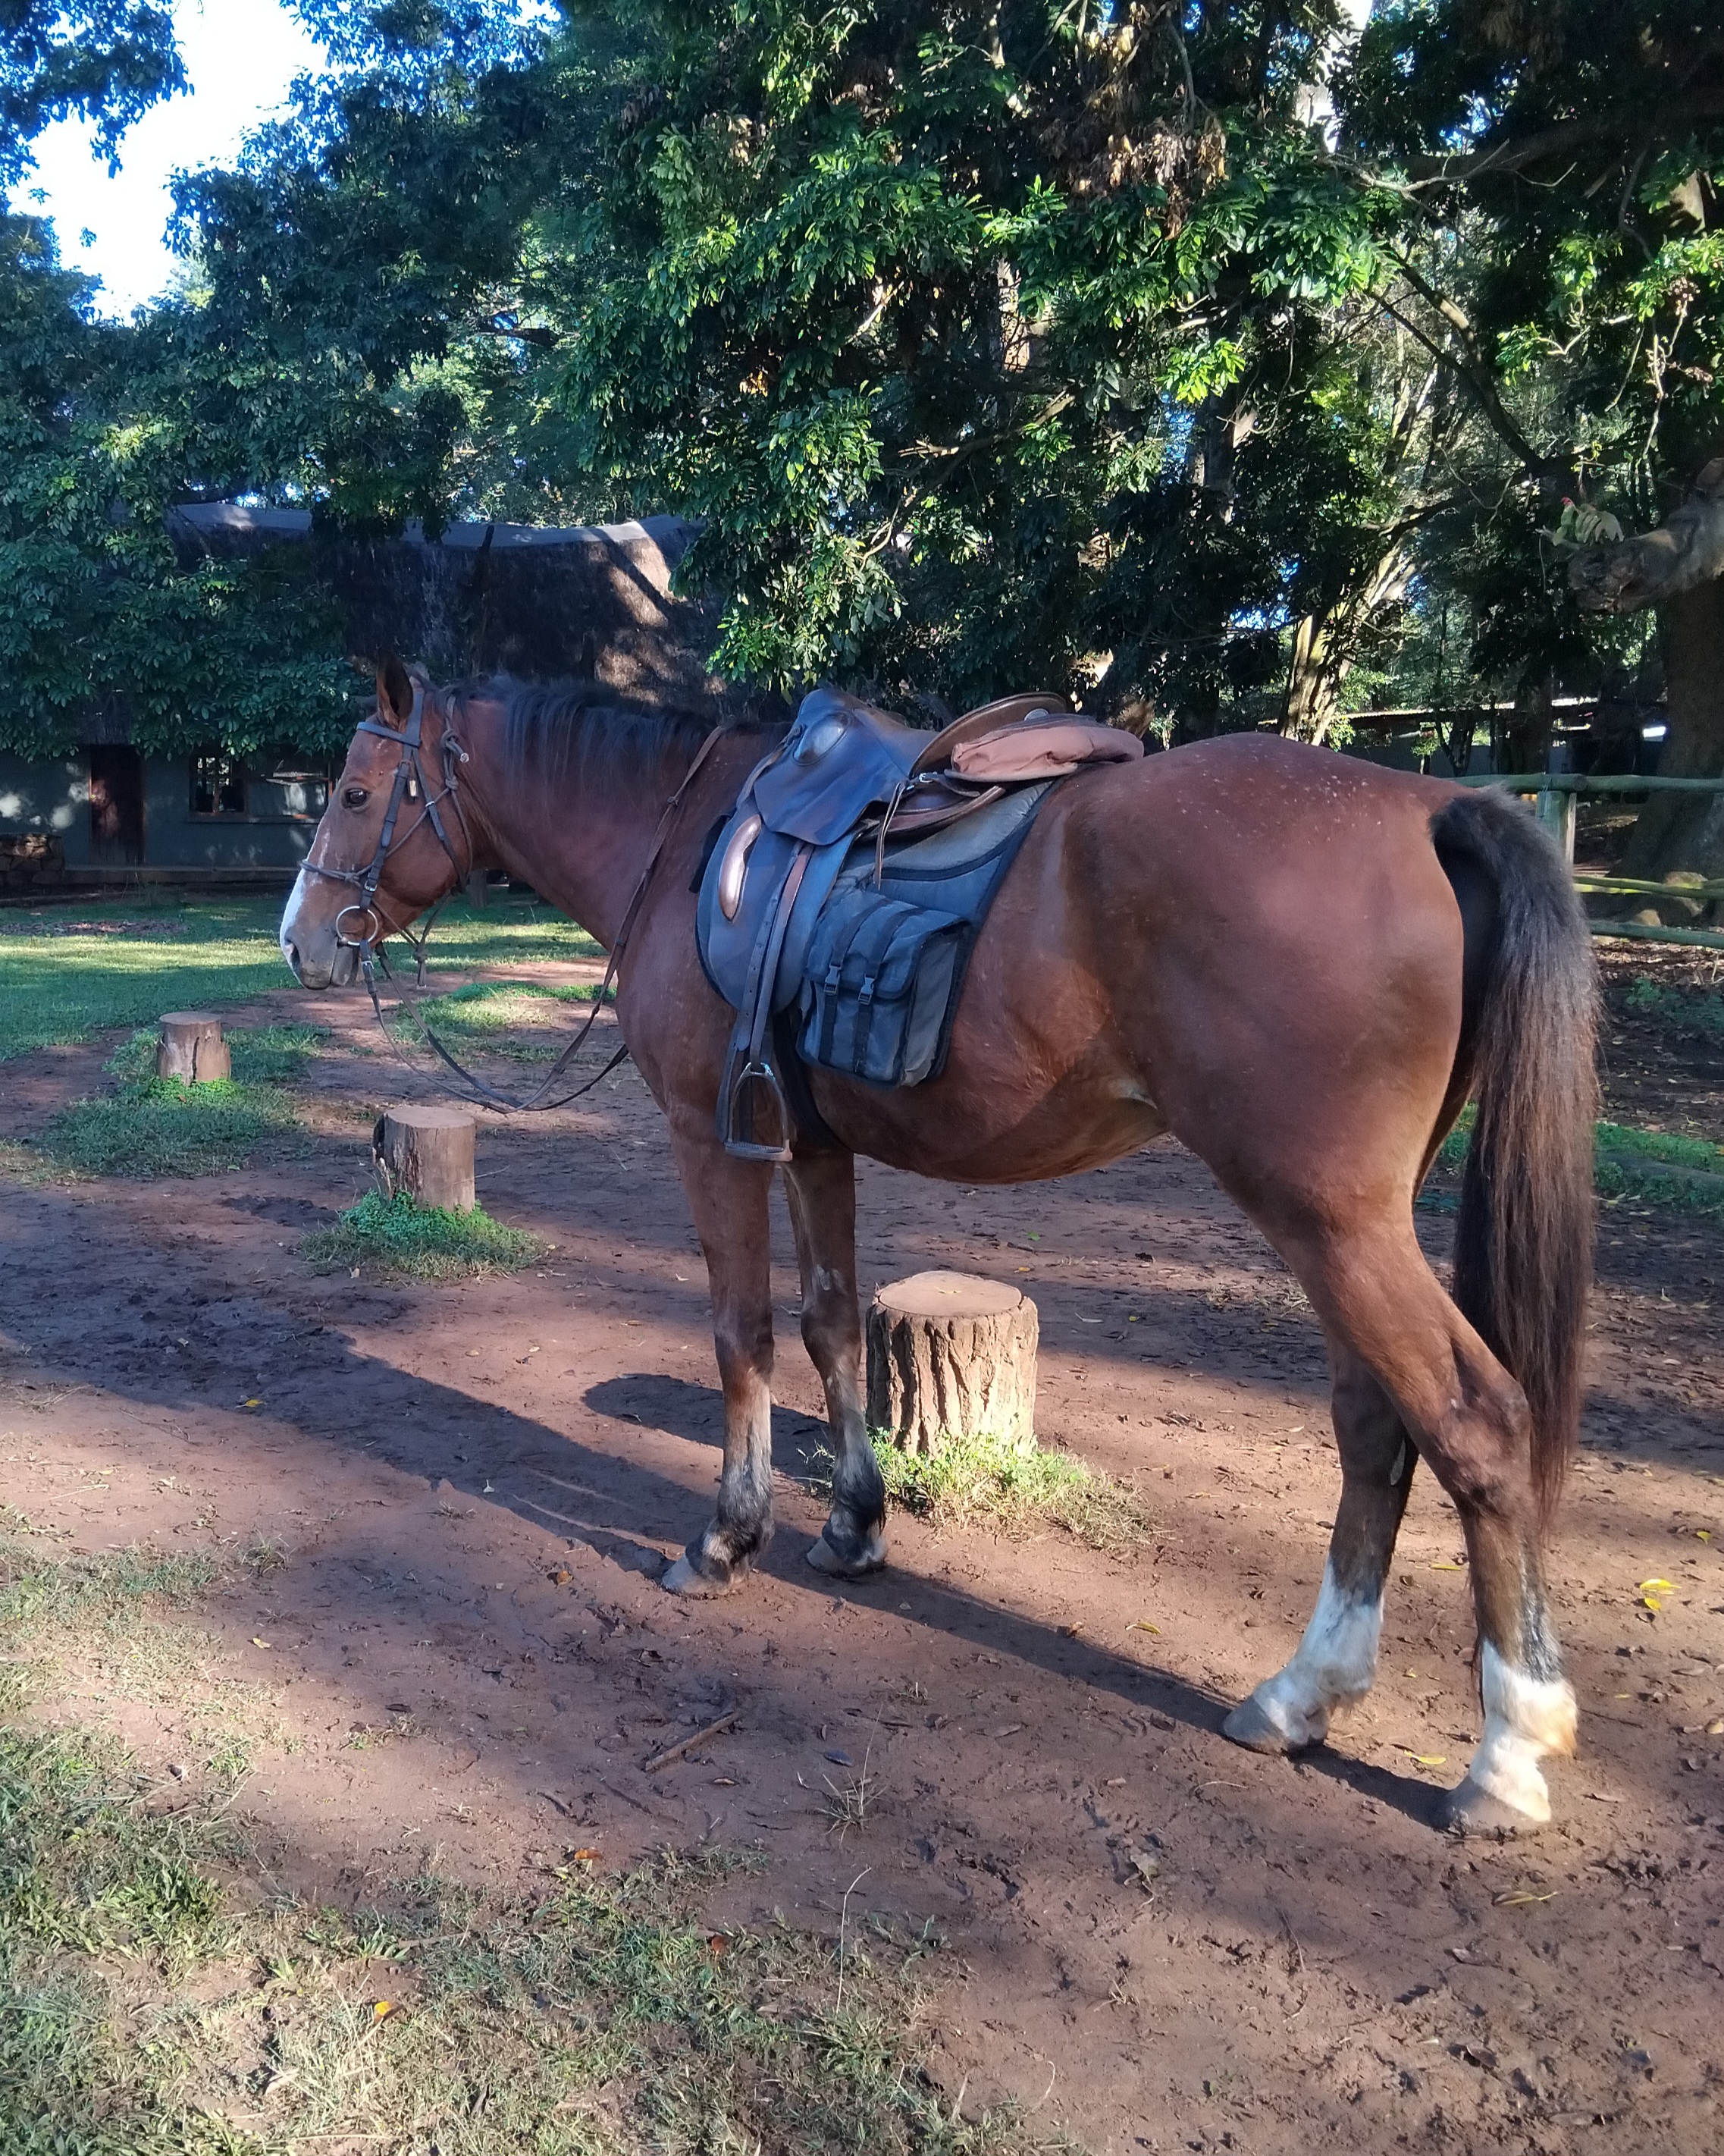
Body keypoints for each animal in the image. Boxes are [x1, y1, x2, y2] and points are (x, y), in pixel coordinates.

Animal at [280, 656, 1597, 1837]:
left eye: (352, 790)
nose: (300, 939)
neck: (678, 844)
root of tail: (1425, 806)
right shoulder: (807, 1142)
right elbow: (827, 1324)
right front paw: (853, 1527)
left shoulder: (713, 1141)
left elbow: (740, 1334)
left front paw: (726, 1536)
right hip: (1349, 1221)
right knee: (1376, 1425)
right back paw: (1299, 1695)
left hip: (1328, 1218)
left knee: (1474, 1420)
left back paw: (1508, 1750)